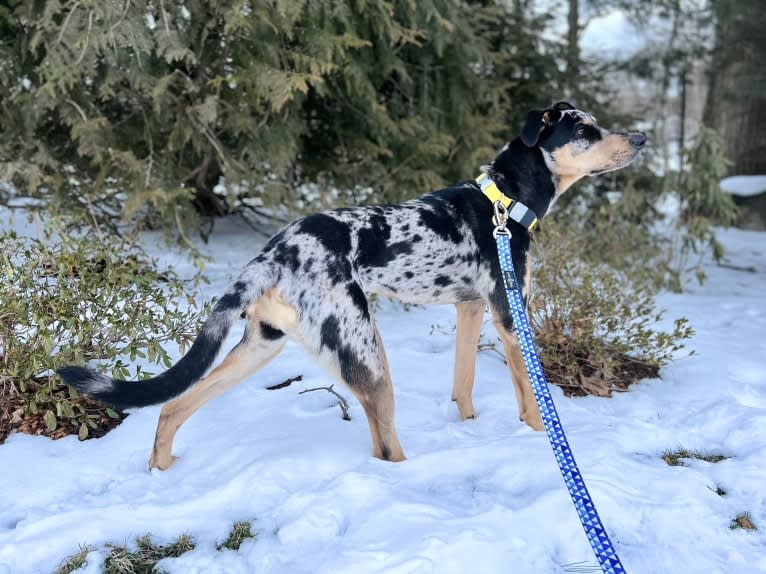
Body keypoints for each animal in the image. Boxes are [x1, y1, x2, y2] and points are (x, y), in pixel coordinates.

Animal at [61, 102, 648, 472]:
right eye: (585, 130)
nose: (642, 138)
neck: (504, 200)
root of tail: (274, 253)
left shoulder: (471, 309)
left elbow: (463, 387)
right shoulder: (510, 313)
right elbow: (532, 399)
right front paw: (538, 441)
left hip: (264, 347)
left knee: (171, 407)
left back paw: (162, 470)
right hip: (366, 353)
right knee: (386, 447)